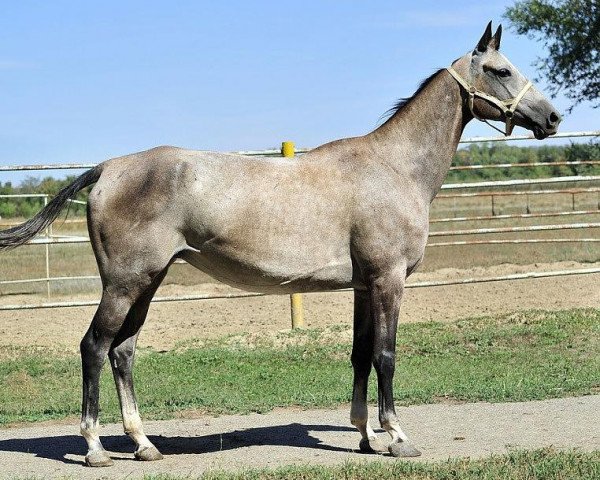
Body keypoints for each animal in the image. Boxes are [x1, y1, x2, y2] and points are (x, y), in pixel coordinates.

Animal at [2, 22, 560, 464]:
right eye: (501, 70)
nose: (552, 118)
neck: (394, 168)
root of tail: (108, 168)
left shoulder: (364, 287)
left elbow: (360, 354)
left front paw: (364, 435)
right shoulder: (388, 281)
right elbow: (385, 355)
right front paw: (397, 436)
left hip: (147, 282)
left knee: (123, 353)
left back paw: (143, 445)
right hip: (124, 284)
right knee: (94, 348)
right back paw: (95, 448)